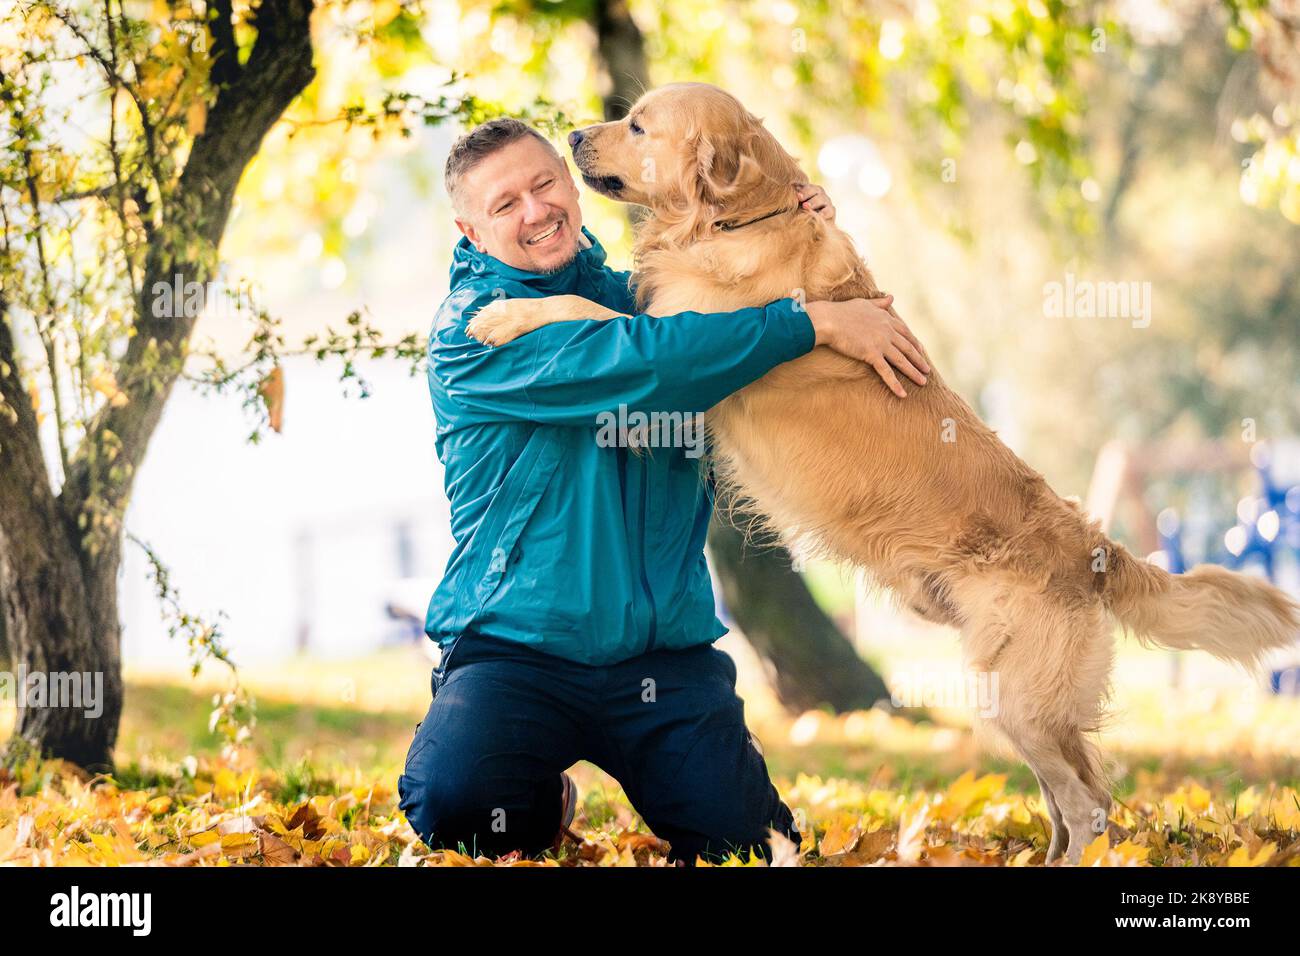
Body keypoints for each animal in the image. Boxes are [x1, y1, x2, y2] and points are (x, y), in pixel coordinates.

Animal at [467, 85, 1300, 868]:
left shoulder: (684, 353)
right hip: (1010, 698)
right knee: (1072, 800)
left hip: (1024, 699)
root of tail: (1094, 546)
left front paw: (500, 316)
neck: (738, 222)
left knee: (1088, 803)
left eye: (639, 125)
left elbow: (580, 312)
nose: (576, 134)